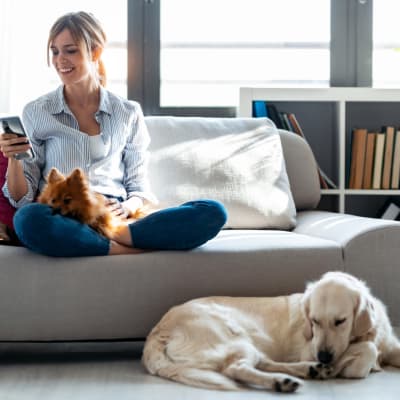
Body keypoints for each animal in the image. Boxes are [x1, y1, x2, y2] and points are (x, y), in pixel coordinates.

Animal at [142, 270, 400, 392]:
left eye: (340, 321)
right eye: (314, 321)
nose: (324, 357)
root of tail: (158, 330)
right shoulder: (310, 346)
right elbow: (367, 350)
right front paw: (350, 365)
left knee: (262, 363)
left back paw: (309, 370)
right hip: (234, 336)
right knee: (237, 368)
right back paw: (284, 382)